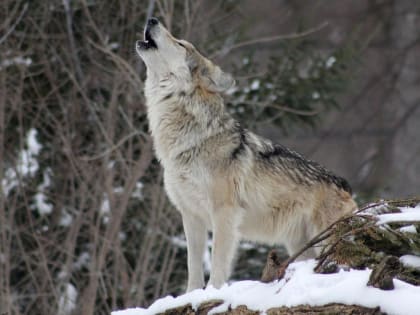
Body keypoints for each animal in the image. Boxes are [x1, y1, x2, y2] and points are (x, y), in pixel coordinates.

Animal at [135, 18, 358, 292]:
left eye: (180, 43)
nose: (152, 19)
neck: (190, 140)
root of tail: (345, 185)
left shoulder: (224, 213)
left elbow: (218, 262)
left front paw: (213, 292)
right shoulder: (191, 216)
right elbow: (193, 266)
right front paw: (191, 295)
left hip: (324, 240)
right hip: (300, 246)